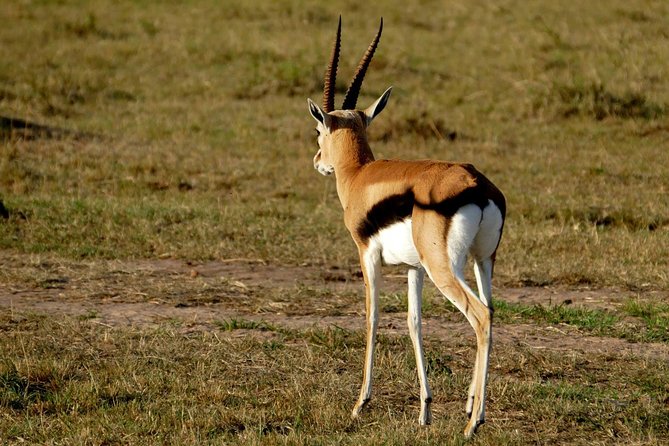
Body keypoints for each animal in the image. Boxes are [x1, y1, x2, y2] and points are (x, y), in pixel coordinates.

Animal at [306, 17, 506, 437]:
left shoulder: (367, 255)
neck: (360, 176)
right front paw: (425, 411)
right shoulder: (414, 268)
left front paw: (359, 405)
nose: (318, 161)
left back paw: (474, 424)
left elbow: (372, 316)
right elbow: (415, 323)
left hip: (446, 268)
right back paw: (469, 407)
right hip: (482, 261)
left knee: (480, 316)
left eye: (318, 131)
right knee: (493, 310)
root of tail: (477, 185)